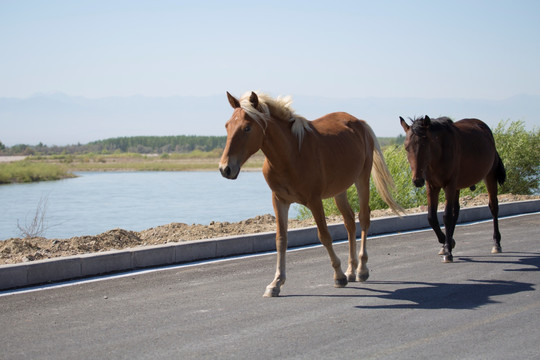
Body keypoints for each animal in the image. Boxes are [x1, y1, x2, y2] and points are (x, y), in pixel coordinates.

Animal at [220, 91, 404, 296]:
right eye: (227, 125)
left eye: (247, 128)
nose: (225, 168)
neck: (291, 155)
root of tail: (359, 122)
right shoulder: (279, 201)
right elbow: (281, 240)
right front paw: (276, 282)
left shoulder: (314, 201)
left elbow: (324, 236)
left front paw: (338, 275)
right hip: (340, 190)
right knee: (349, 222)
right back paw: (351, 269)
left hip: (362, 179)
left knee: (363, 218)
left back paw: (361, 270)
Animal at [400, 116, 506, 262]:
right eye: (406, 147)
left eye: (425, 145)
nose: (417, 180)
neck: (438, 155)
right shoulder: (432, 186)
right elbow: (432, 217)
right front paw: (446, 243)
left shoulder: (449, 185)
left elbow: (447, 216)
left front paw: (448, 251)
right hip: (457, 186)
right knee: (456, 211)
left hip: (489, 176)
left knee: (493, 207)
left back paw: (496, 243)